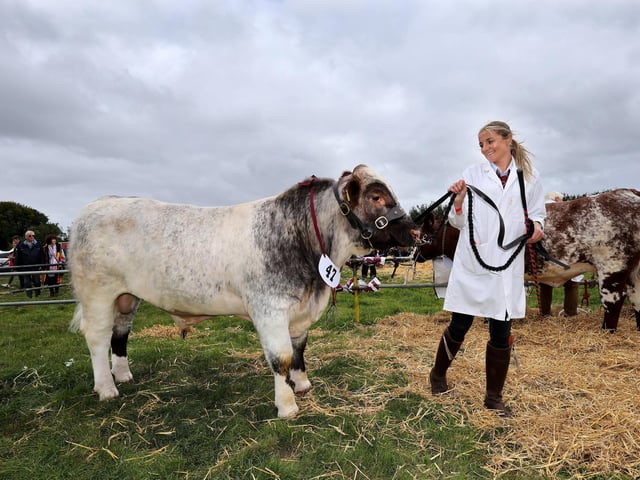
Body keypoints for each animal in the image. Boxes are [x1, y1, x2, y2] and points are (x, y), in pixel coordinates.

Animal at [68, 165, 420, 418]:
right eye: (376, 197)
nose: (415, 231)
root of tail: (101, 203)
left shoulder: (299, 312)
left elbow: (300, 349)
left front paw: (303, 384)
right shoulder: (269, 309)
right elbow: (281, 357)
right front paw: (287, 405)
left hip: (127, 297)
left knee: (120, 334)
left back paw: (123, 375)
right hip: (98, 292)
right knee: (97, 337)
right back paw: (106, 388)